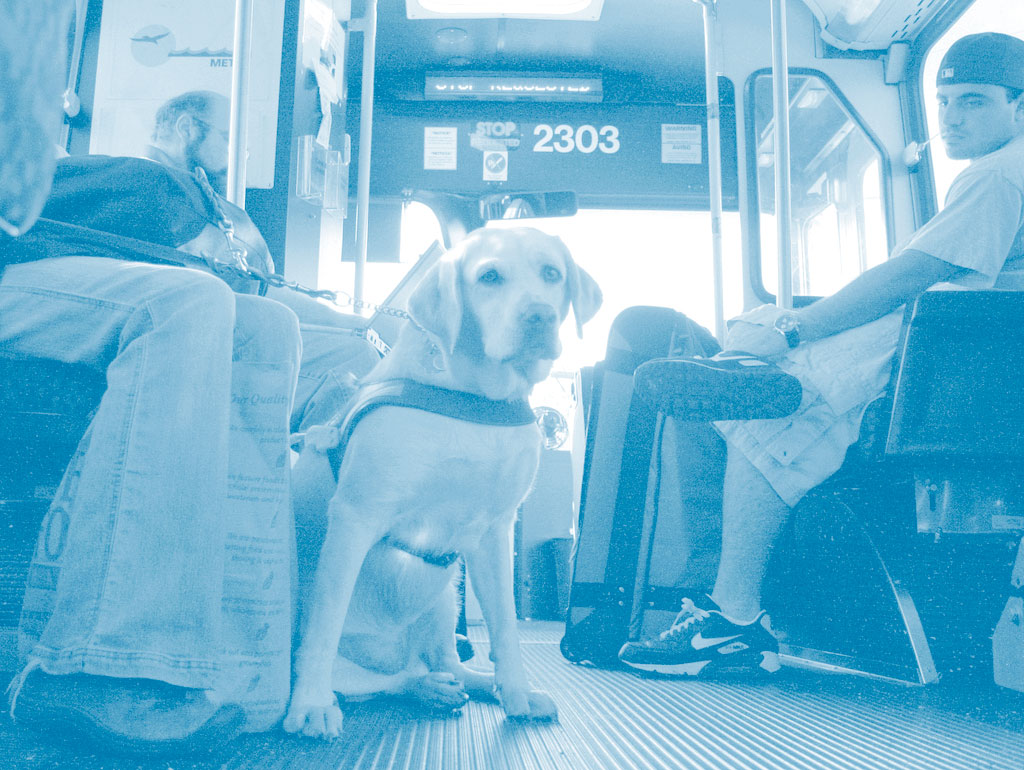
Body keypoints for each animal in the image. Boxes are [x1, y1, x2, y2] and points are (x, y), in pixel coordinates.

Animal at [282, 227, 598, 741]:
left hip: (446, 595)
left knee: (445, 663)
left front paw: (517, 692)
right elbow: (324, 628)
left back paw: (468, 683)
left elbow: (506, 628)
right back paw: (418, 687)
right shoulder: (355, 518)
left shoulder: (494, 533)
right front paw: (309, 704)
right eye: (489, 276)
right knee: (387, 680)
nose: (539, 316)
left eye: (551, 273)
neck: (473, 397)